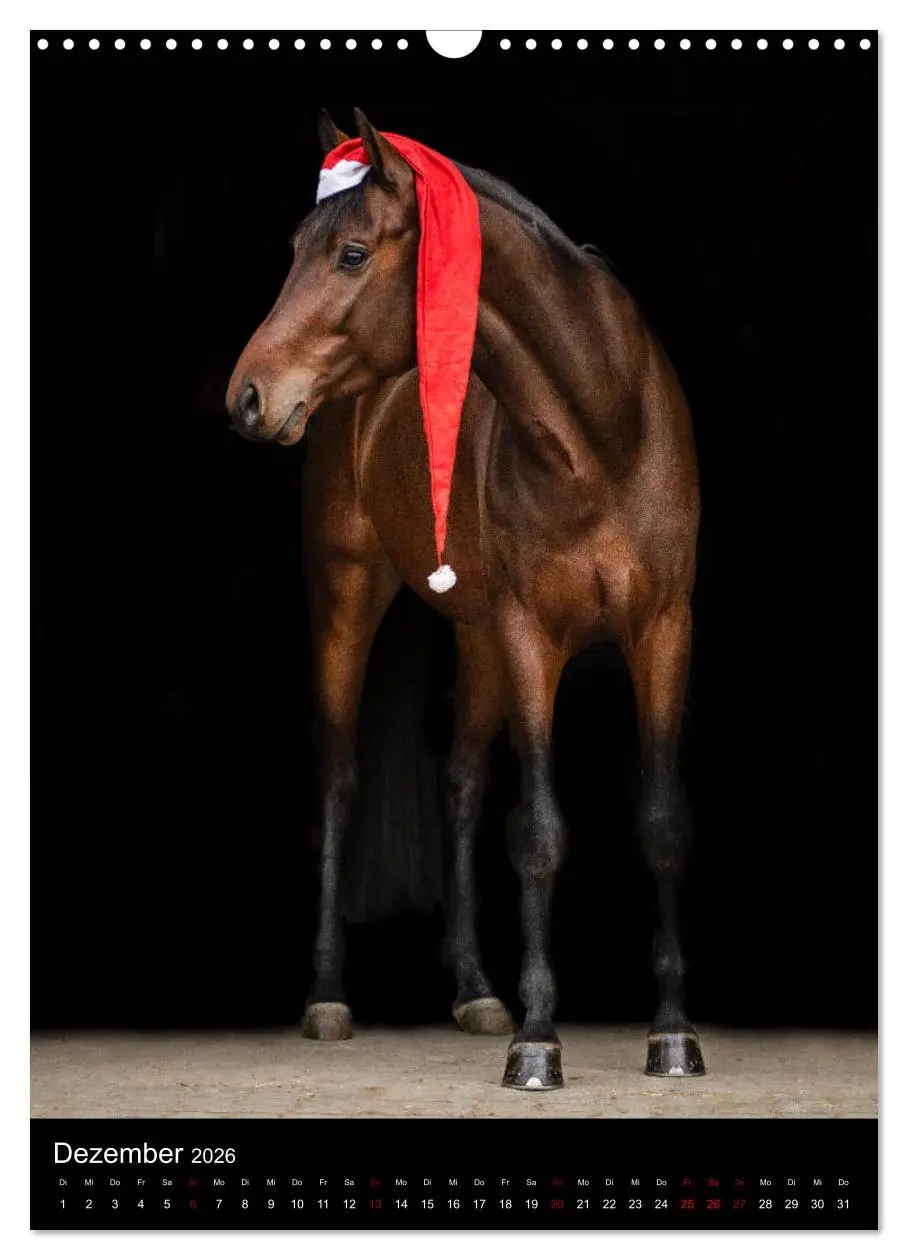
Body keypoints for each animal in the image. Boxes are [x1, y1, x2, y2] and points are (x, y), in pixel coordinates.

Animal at [225, 109, 704, 1090]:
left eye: (352, 254)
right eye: (295, 248)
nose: (247, 396)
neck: (602, 433)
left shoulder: (662, 629)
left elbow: (661, 823)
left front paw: (673, 1035)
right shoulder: (532, 636)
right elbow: (540, 835)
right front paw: (540, 1042)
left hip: (480, 638)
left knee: (460, 785)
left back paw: (478, 989)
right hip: (350, 596)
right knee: (340, 783)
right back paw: (328, 995)